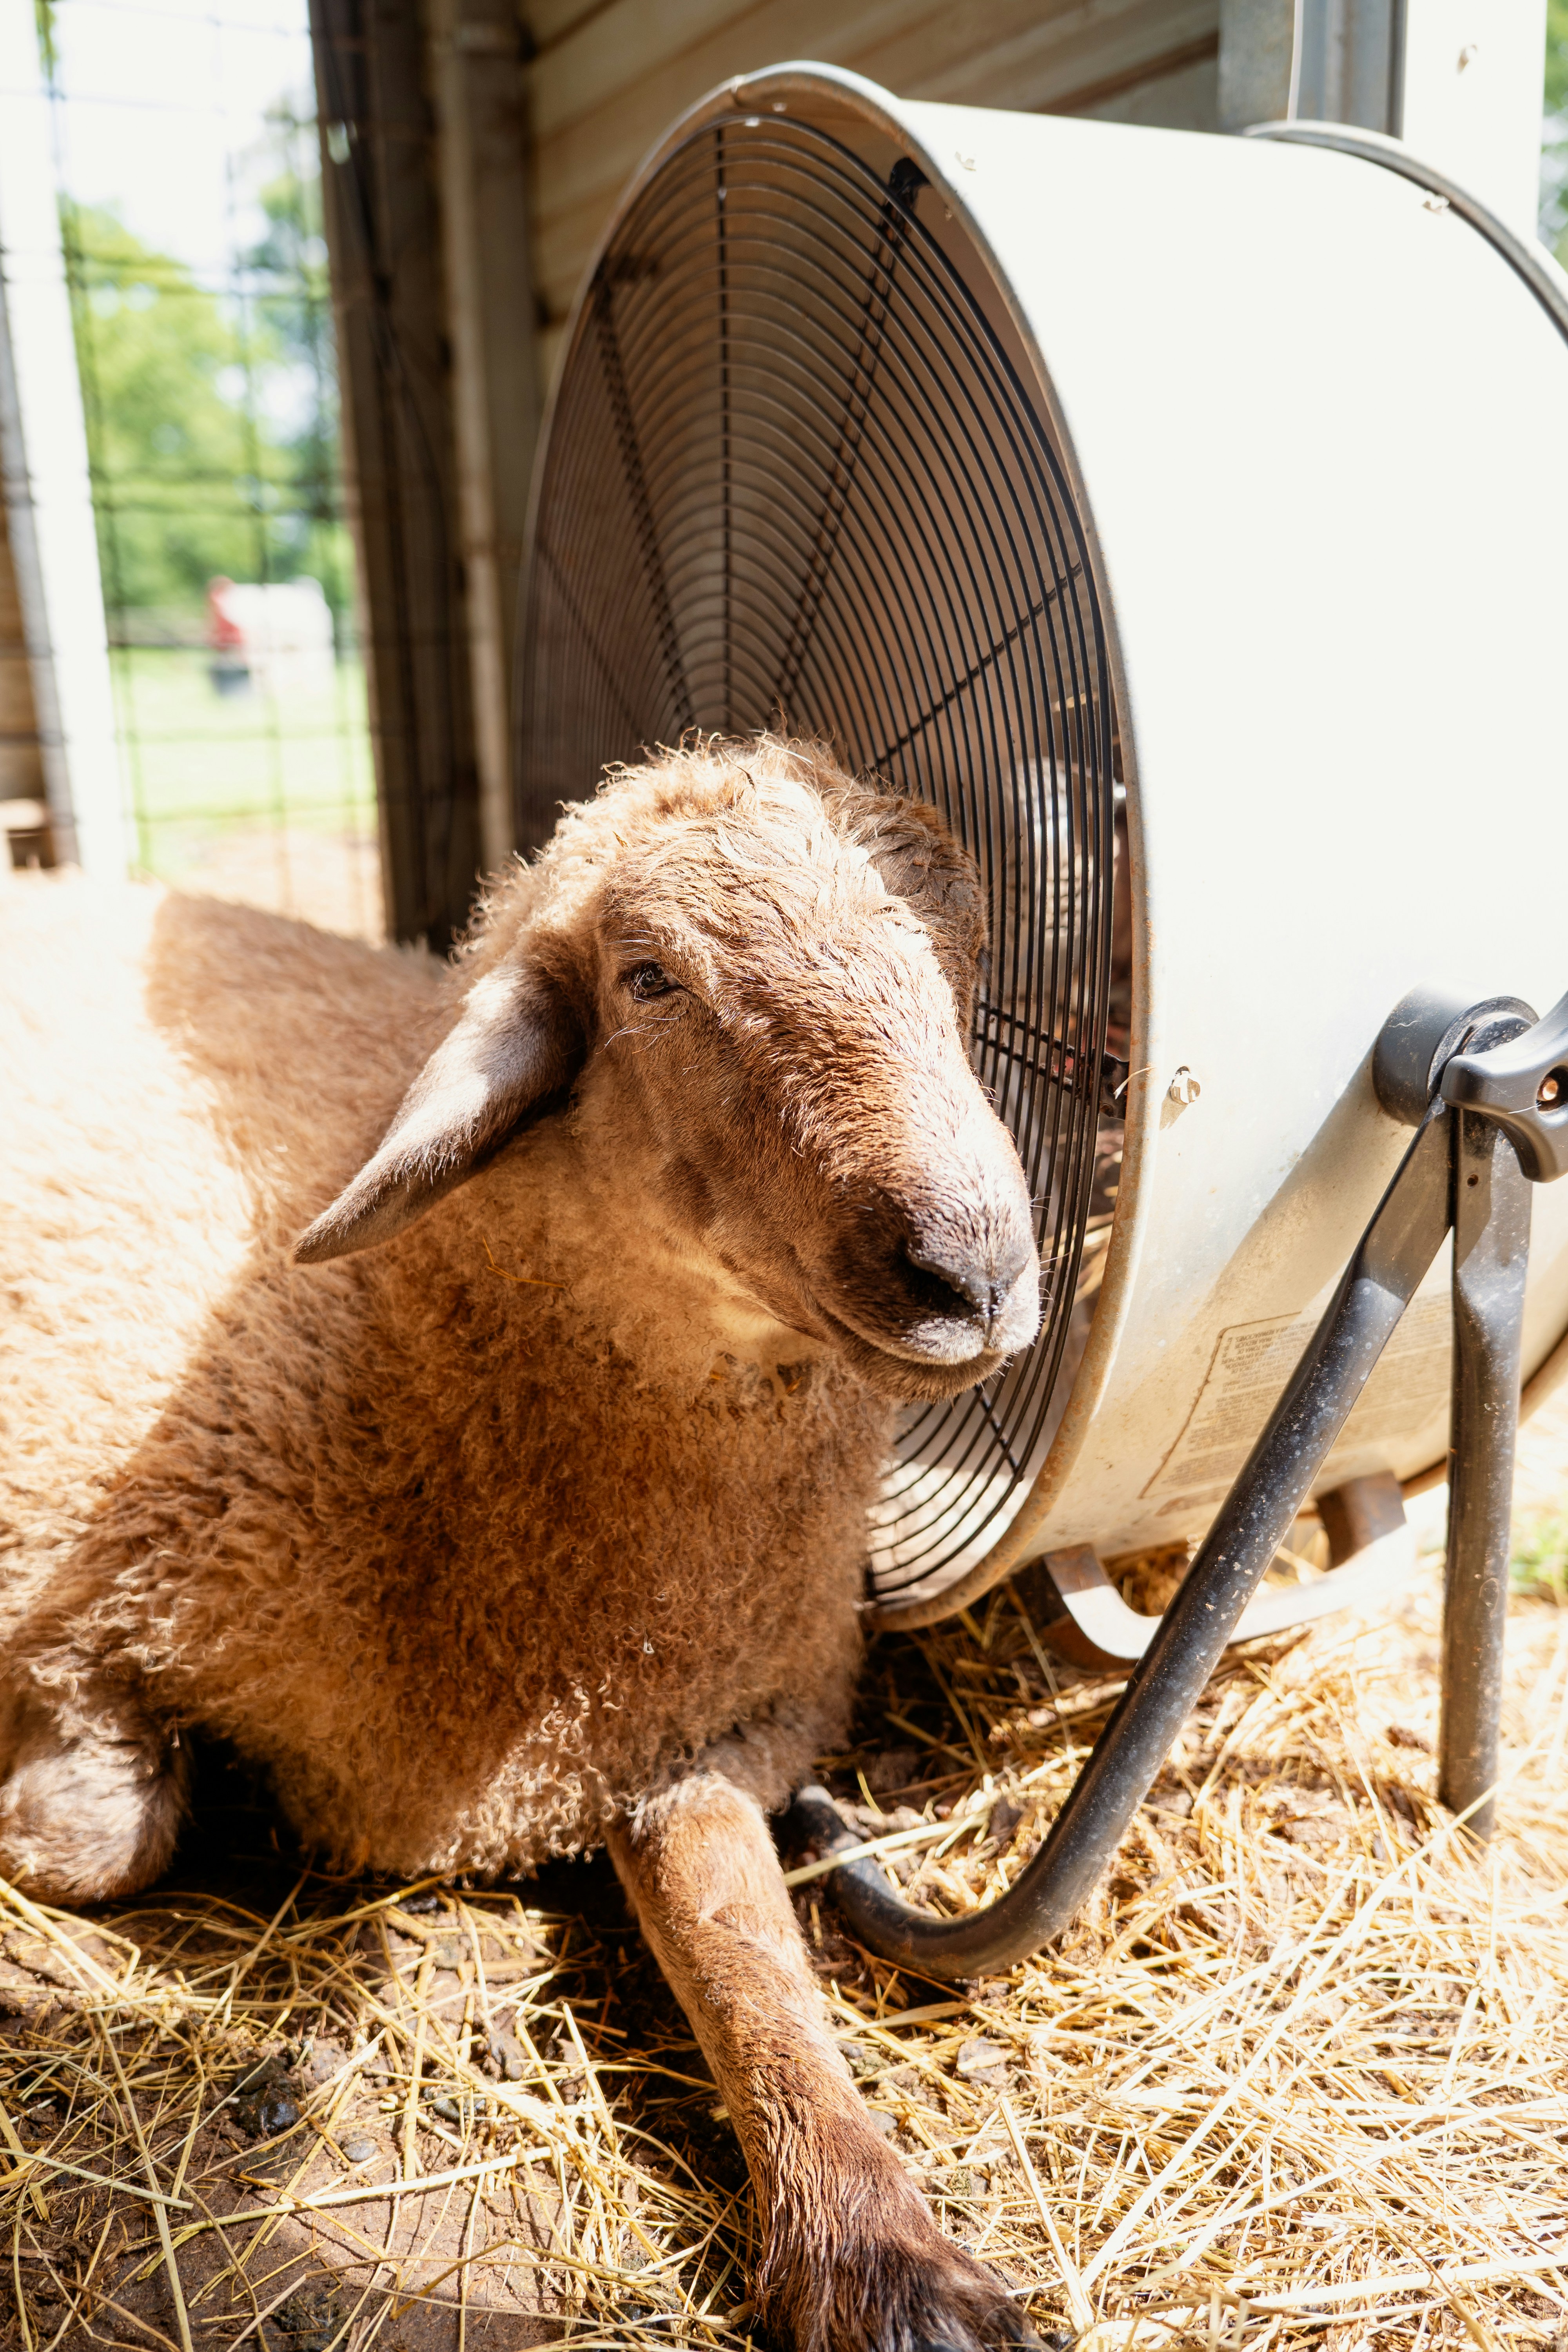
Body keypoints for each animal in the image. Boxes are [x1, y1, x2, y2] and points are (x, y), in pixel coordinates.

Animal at [0, 735, 1042, 2352]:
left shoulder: (694, 1731)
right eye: (649, 979)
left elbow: (748, 1954)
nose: (973, 1269)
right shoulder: (84, 1578)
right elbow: (96, 1833)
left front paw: (884, 2253)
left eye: (964, 956)